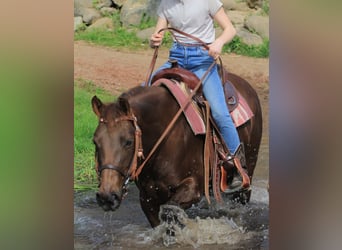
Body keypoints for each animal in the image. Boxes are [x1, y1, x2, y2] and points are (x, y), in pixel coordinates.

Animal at [91, 67, 262, 229]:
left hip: (248, 172)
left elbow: (170, 211)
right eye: (95, 142)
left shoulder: (193, 188)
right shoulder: (147, 198)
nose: (107, 197)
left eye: (128, 142)